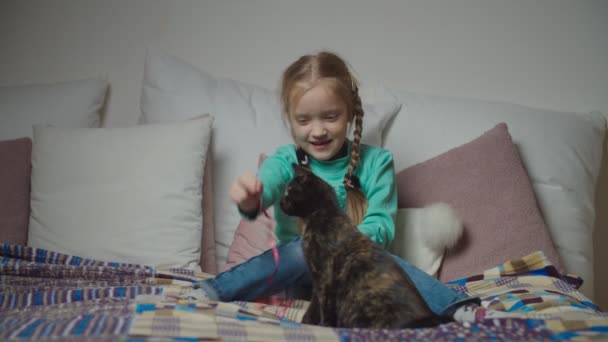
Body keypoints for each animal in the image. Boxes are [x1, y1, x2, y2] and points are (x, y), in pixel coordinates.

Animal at [282, 164, 452, 330]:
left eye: (288, 192)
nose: (280, 202)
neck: (320, 216)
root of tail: (425, 318)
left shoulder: (324, 278)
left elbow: (323, 307)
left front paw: (323, 326)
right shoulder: (317, 280)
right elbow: (313, 305)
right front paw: (306, 322)